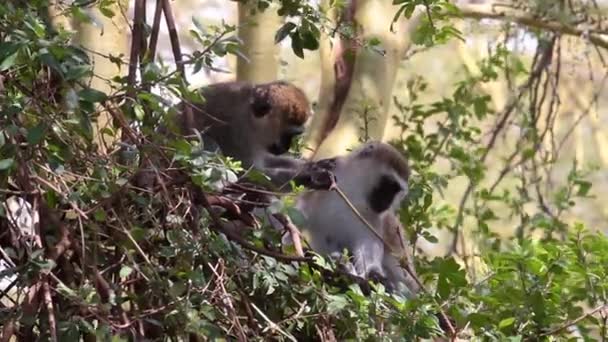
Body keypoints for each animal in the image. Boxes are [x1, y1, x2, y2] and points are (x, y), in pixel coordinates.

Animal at [296, 141, 420, 296]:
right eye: (389, 185)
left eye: (396, 191)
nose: (386, 203)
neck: (353, 194)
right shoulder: (321, 186)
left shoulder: (372, 217)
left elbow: (368, 243)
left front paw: (373, 274)